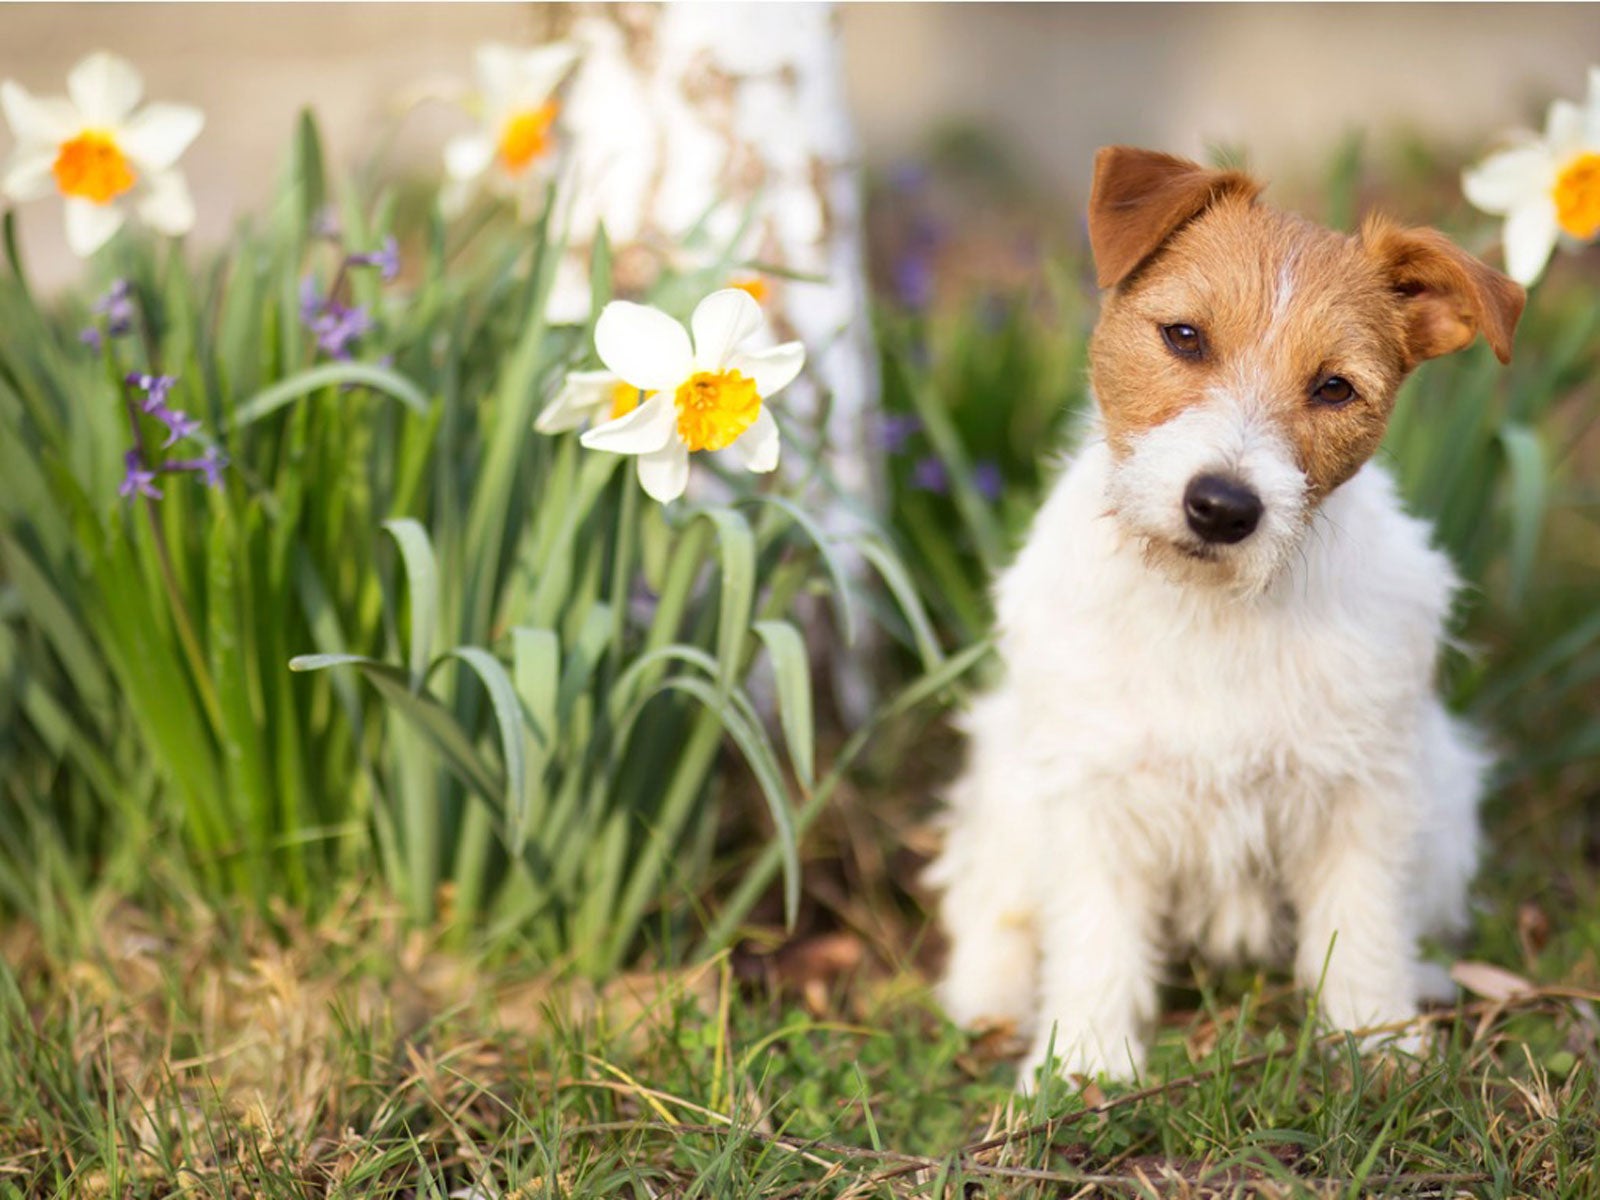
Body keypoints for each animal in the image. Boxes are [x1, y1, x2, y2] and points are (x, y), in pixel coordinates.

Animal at [934, 143, 1529, 1088]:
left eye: (1334, 388)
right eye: (1184, 336)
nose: (1222, 507)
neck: (1210, 608)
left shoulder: (1365, 789)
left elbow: (1362, 920)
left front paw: (1378, 1041)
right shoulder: (1093, 791)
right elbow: (1095, 935)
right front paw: (1084, 1064)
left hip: (1446, 790)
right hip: (1006, 778)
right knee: (990, 898)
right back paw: (987, 997)